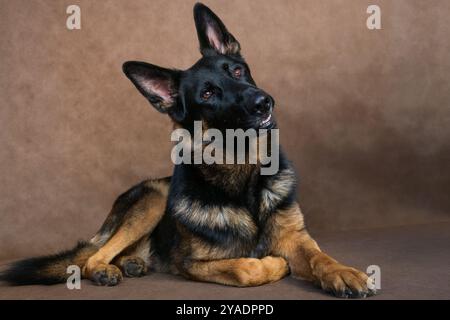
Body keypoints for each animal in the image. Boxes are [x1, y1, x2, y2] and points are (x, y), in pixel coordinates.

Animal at [0, 2, 376, 298]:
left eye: (237, 70)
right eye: (208, 94)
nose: (263, 102)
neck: (243, 176)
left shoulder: (295, 238)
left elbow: (318, 256)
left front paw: (342, 272)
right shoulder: (192, 263)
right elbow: (246, 268)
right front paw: (272, 265)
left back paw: (132, 262)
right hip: (153, 197)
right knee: (93, 257)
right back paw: (108, 268)